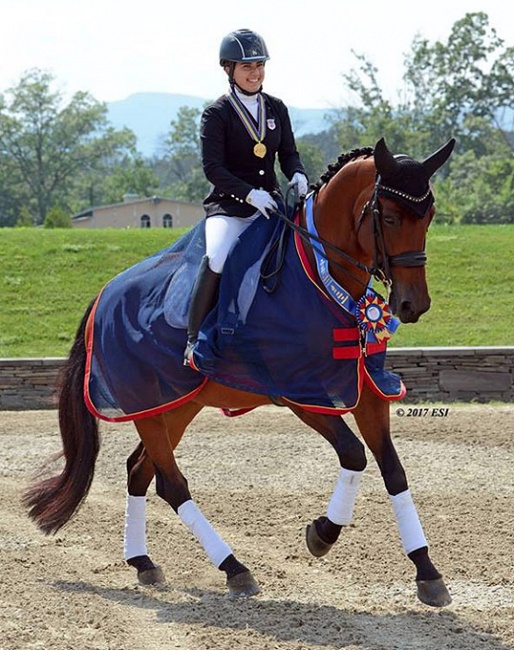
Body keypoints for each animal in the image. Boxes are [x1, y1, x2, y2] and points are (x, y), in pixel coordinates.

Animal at [25, 138, 452, 608]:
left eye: (429, 215)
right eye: (390, 217)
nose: (413, 304)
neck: (318, 275)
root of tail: (104, 292)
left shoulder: (367, 389)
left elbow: (393, 470)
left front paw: (427, 571)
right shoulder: (298, 392)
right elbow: (354, 455)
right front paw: (322, 533)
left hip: (176, 404)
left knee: (141, 472)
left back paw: (144, 563)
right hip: (146, 406)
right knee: (172, 484)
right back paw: (234, 568)